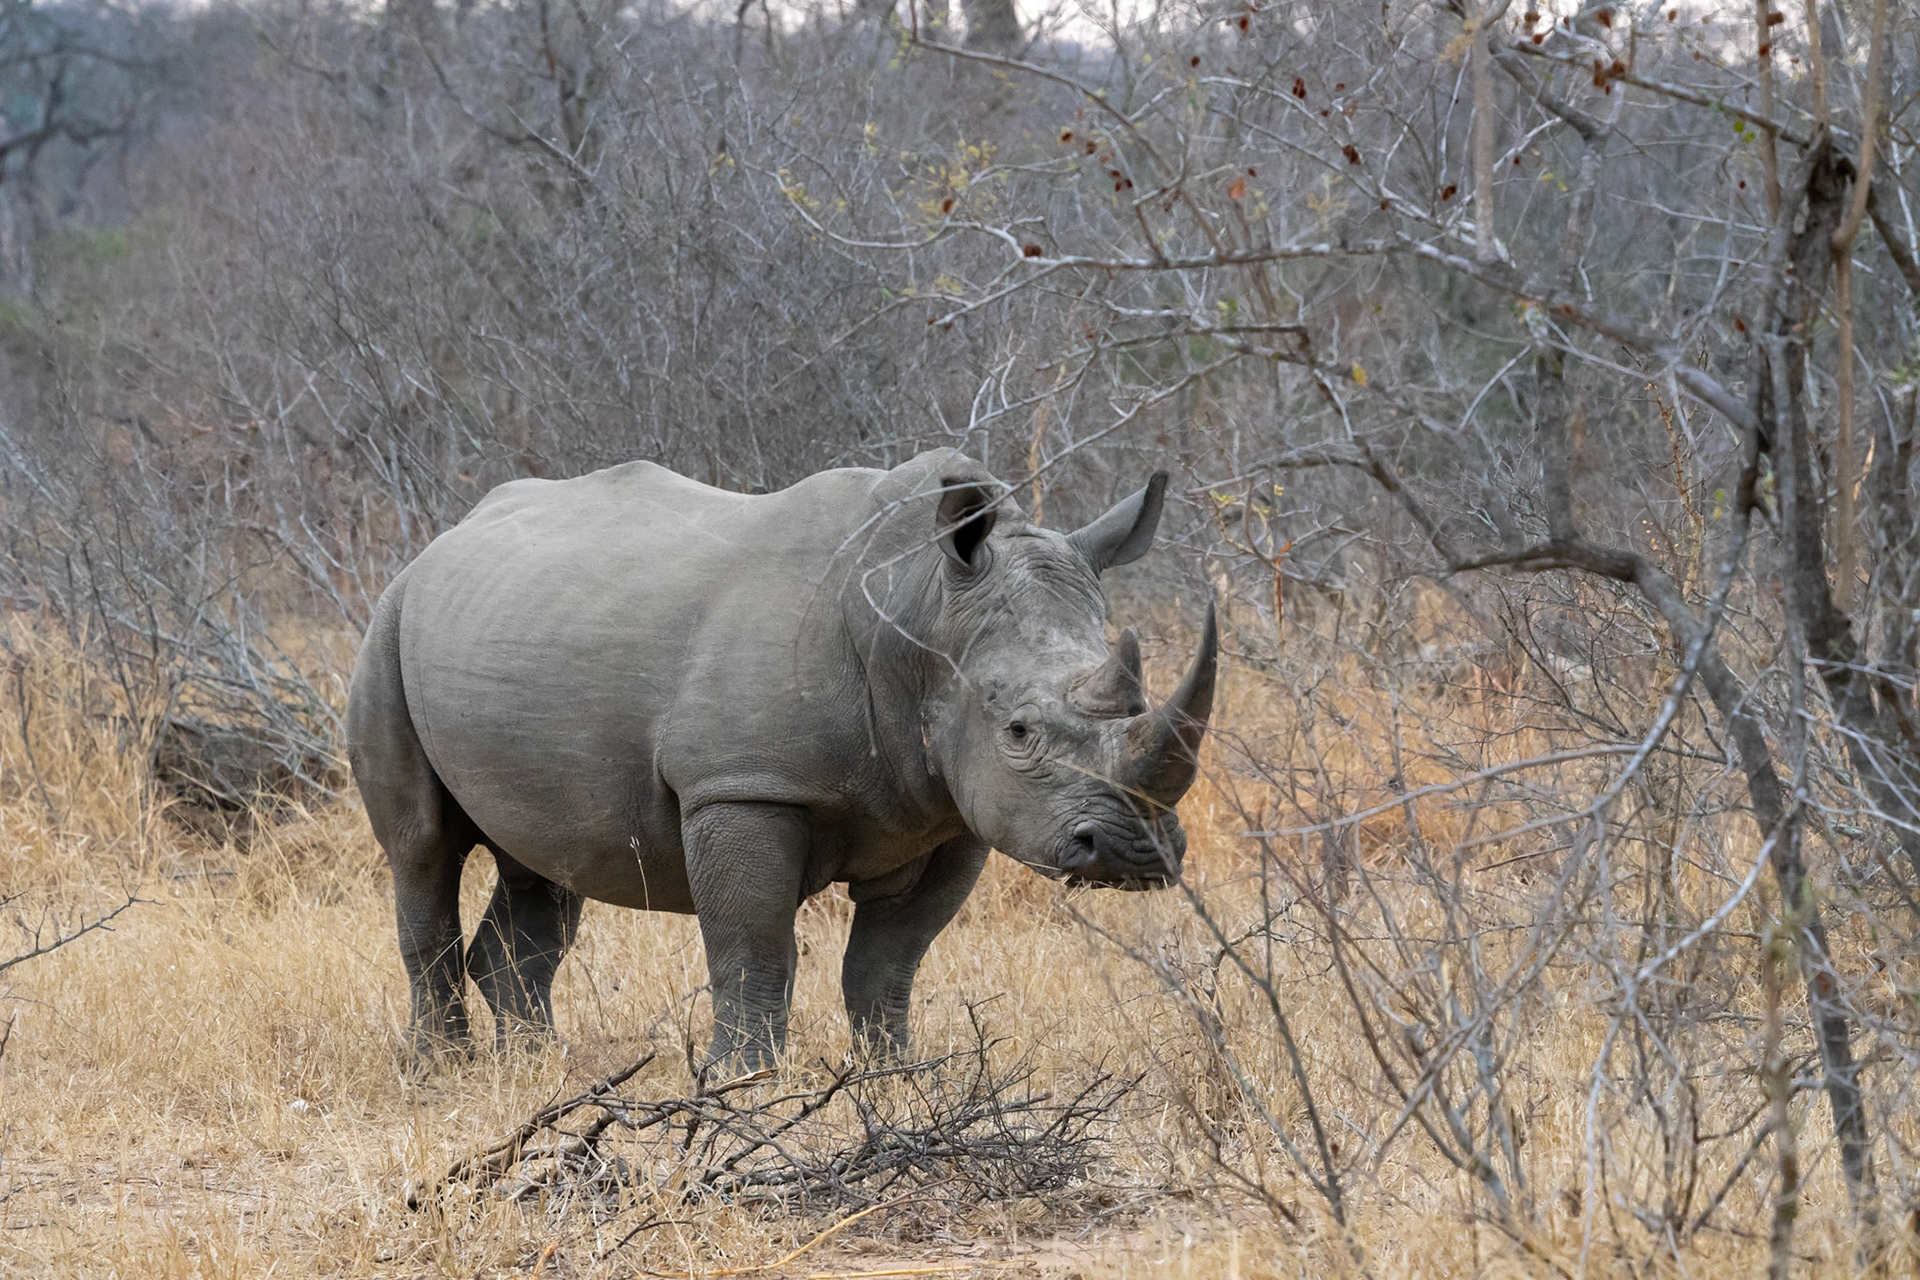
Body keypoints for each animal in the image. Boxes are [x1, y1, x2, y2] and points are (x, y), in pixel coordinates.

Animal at [347, 449, 1216, 1068]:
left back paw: (535, 1065)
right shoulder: (743, 787)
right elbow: (754, 945)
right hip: (386, 623)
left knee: (549, 861)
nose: (1134, 854)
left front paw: (895, 1075)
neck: (920, 609)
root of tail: (441, 541)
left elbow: (889, 962)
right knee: (422, 847)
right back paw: (442, 1069)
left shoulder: (949, 814)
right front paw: (743, 1082)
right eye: (1020, 732)